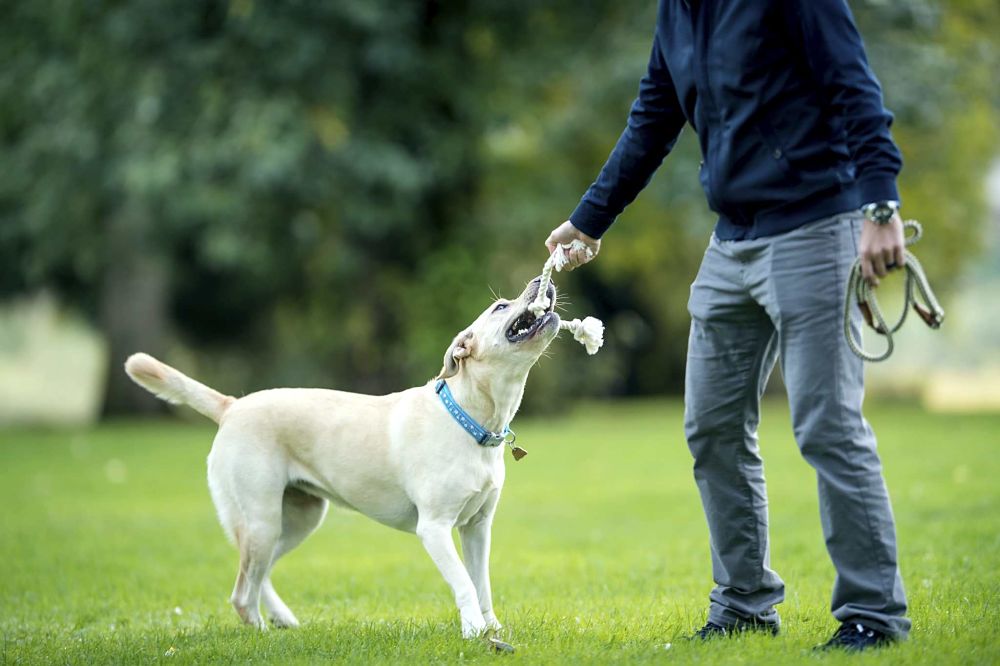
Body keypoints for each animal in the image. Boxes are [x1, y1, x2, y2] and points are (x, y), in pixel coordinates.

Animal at [122, 274, 560, 640]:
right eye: (500, 306)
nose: (541, 280)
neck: (470, 419)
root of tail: (232, 406)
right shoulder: (434, 528)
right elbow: (464, 583)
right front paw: (474, 633)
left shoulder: (477, 528)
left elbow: (482, 584)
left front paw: (491, 629)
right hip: (262, 521)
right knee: (242, 593)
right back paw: (262, 635)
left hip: (297, 521)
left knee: (257, 577)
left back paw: (282, 619)